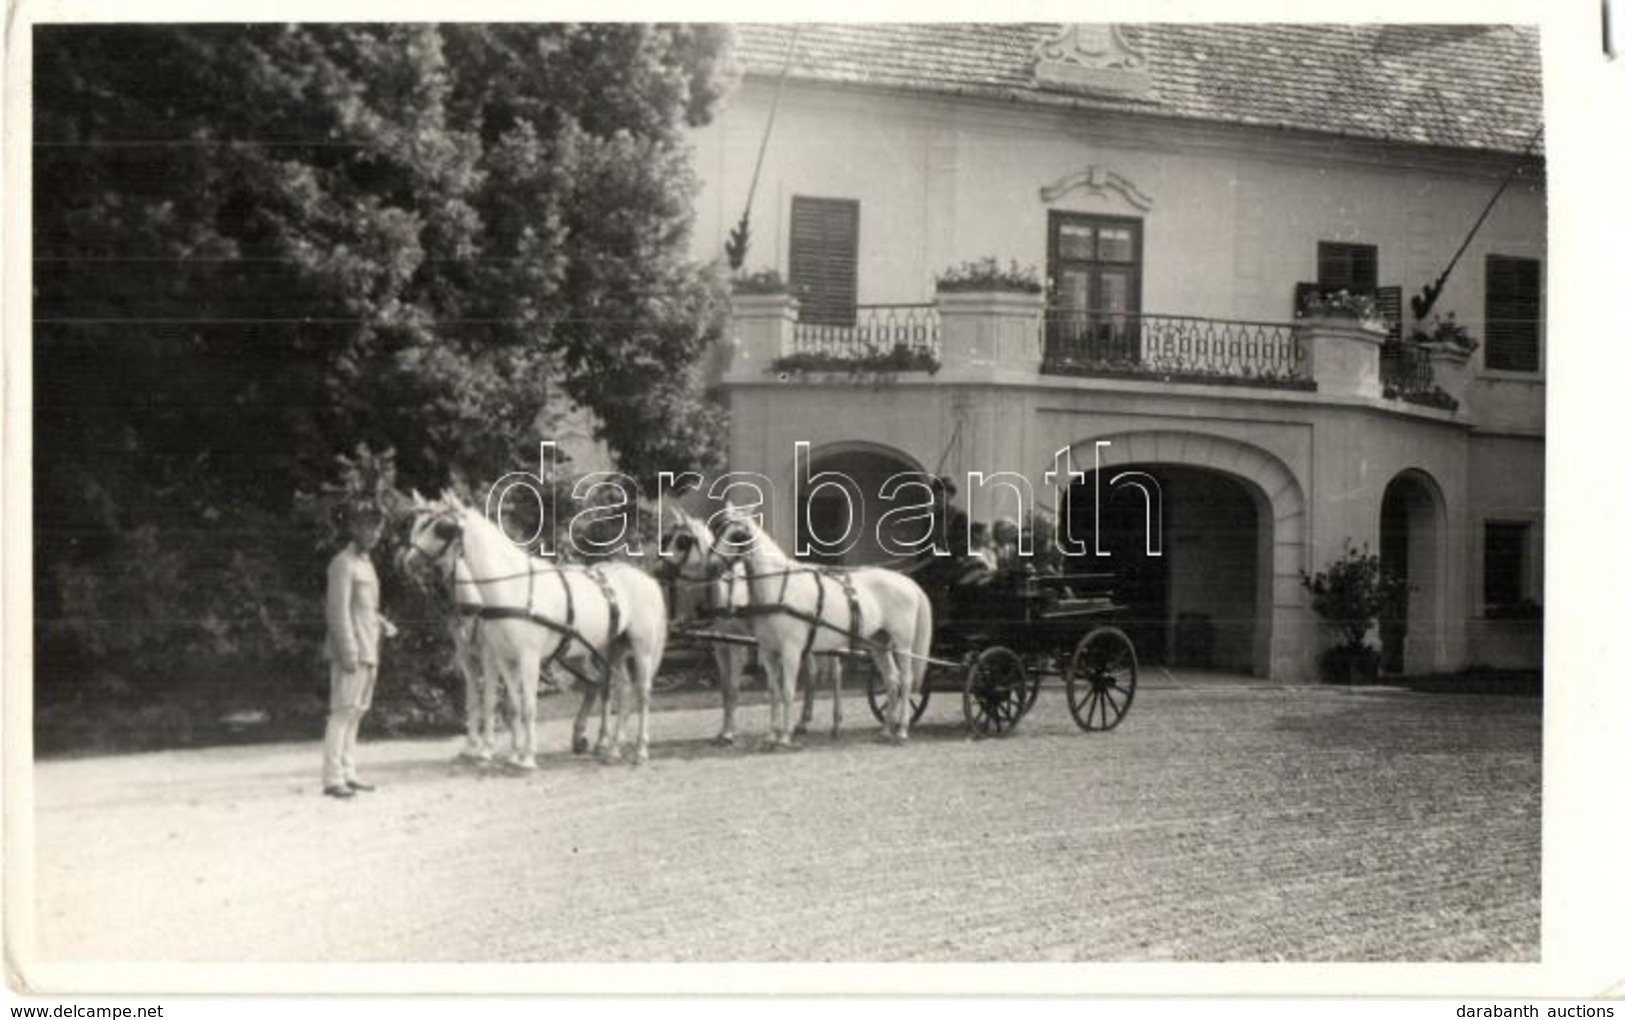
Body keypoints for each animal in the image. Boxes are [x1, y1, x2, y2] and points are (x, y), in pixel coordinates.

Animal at [401, 490, 666, 766]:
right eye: (416, 525)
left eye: (442, 529)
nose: (408, 563)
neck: (508, 590)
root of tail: (646, 580)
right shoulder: (497, 658)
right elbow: (506, 705)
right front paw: (509, 754)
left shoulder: (521, 657)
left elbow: (522, 705)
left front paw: (523, 756)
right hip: (611, 647)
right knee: (617, 689)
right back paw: (611, 747)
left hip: (641, 648)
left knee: (641, 692)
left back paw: (637, 749)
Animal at [659, 506, 929, 743]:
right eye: (718, 531)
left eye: (683, 541)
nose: (661, 570)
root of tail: (908, 582)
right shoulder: (752, 649)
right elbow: (769, 691)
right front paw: (769, 734)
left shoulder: (777, 649)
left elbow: (780, 690)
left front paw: (777, 736)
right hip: (877, 642)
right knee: (890, 680)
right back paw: (883, 729)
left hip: (902, 644)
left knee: (903, 680)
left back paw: (899, 729)